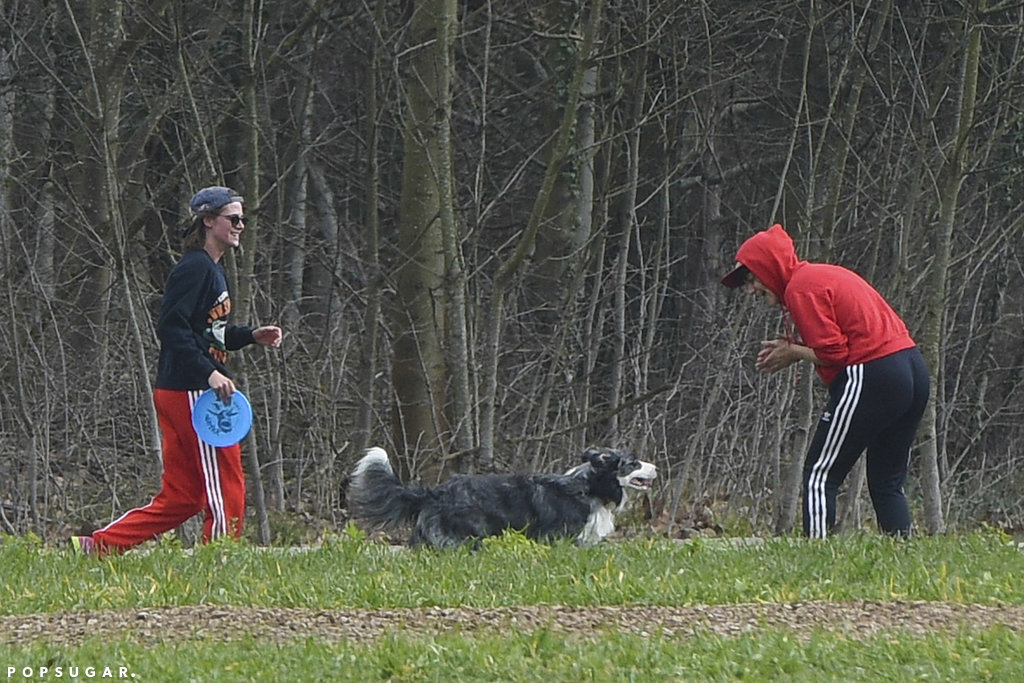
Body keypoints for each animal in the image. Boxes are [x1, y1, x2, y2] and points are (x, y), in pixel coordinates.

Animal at [348, 448, 659, 548]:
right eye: (633, 463)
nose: (656, 467)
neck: (590, 487)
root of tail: (434, 492)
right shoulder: (559, 537)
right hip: (464, 536)